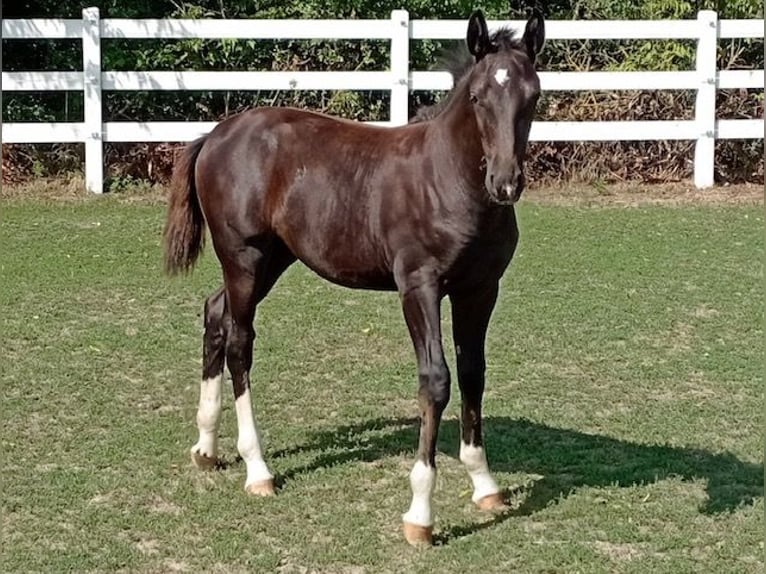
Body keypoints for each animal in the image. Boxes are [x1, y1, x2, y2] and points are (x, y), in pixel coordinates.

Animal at [163, 8, 544, 546]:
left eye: (533, 95)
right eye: (477, 97)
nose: (506, 183)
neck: (447, 180)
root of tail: (216, 135)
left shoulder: (480, 290)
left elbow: (474, 373)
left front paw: (485, 484)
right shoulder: (419, 287)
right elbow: (436, 380)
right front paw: (420, 515)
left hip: (274, 259)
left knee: (215, 313)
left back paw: (206, 447)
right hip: (244, 256)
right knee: (239, 340)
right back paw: (257, 469)